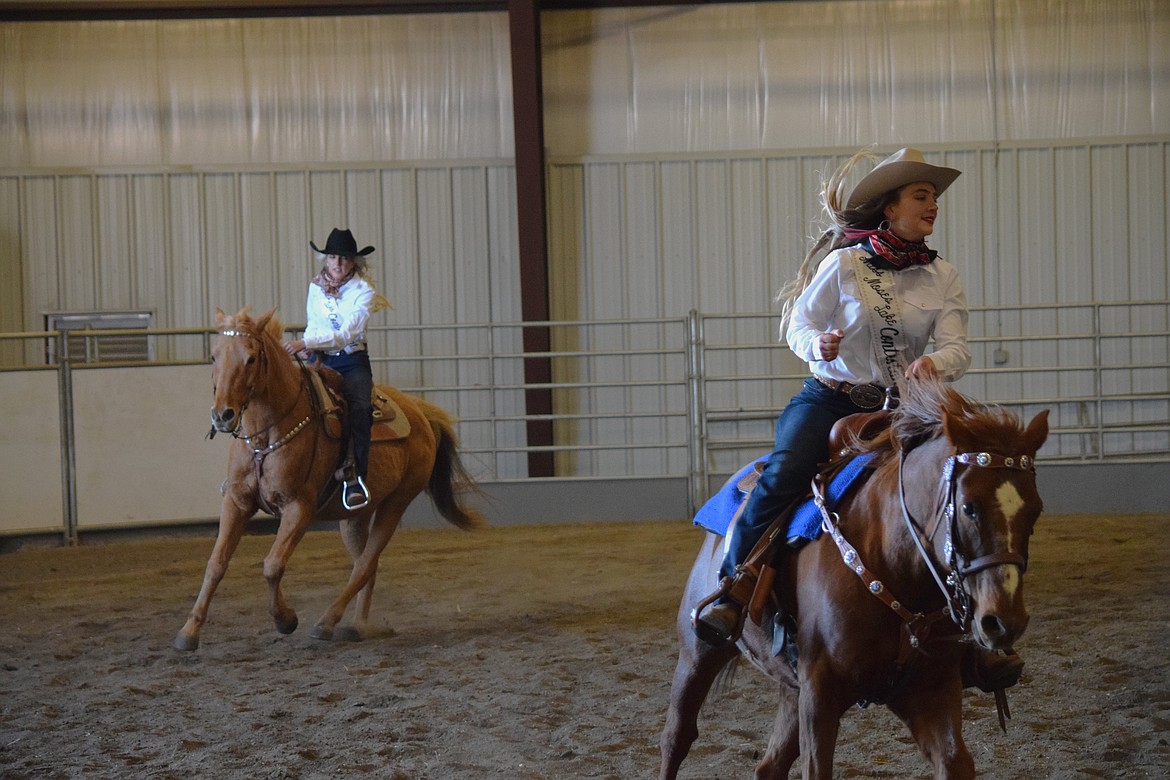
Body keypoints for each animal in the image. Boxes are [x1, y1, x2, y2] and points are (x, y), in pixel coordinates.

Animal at [173, 308, 484, 654]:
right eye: (214, 356)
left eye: (251, 358)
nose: (222, 415)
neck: (267, 435)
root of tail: (420, 410)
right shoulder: (237, 501)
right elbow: (215, 564)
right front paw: (189, 631)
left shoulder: (299, 507)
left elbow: (272, 565)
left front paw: (286, 620)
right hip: (354, 516)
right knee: (367, 566)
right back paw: (357, 625)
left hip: (396, 503)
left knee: (364, 565)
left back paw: (326, 623)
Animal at [659, 374, 1053, 776]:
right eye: (969, 507)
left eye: (1035, 511)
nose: (1004, 621)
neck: (892, 563)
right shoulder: (820, 696)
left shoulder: (932, 687)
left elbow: (955, 761)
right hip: (698, 652)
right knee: (677, 737)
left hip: (790, 686)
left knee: (770, 766)